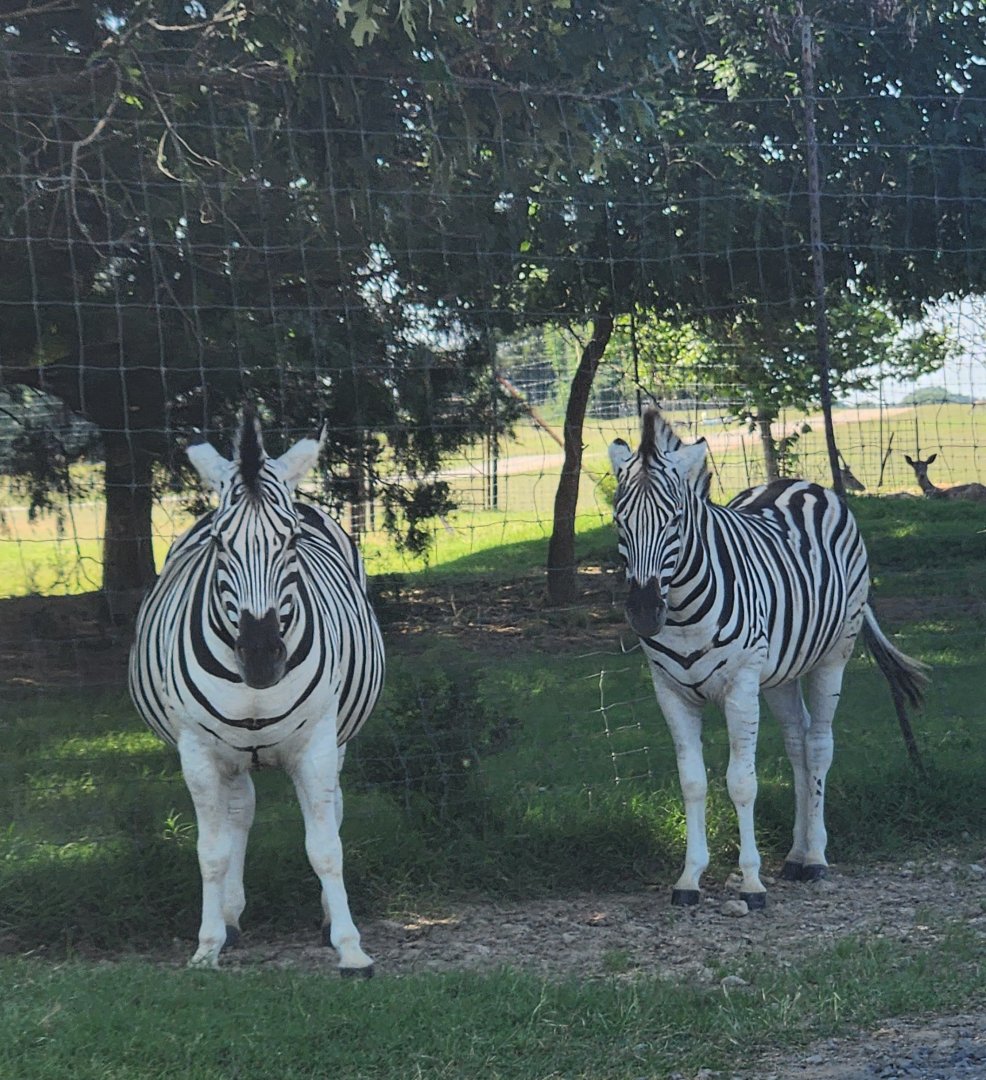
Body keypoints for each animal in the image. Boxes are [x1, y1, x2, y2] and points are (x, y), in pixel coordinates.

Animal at [129, 409, 384, 973]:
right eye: (220, 544)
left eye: (289, 541)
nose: (262, 658)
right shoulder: (198, 753)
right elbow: (211, 850)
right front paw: (207, 944)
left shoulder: (317, 744)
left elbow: (326, 846)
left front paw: (350, 945)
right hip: (232, 753)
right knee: (238, 813)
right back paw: (229, 915)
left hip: (338, 736)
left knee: (331, 809)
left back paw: (326, 917)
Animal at [608, 409, 928, 909]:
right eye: (619, 518)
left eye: (674, 519)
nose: (643, 613)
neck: (681, 611)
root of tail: (799, 483)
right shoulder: (671, 692)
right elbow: (692, 782)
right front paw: (689, 878)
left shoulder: (740, 686)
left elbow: (741, 782)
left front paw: (751, 882)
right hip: (778, 675)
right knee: (798, 742)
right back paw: (795, 855)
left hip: (833, 654)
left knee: (818, 745)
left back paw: (815, 858)